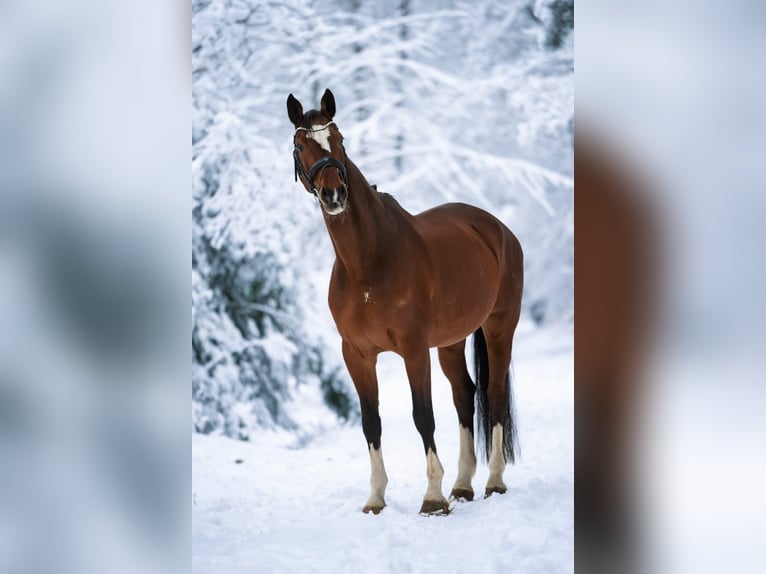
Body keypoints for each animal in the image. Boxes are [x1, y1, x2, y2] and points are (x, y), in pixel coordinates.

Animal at [287, 89, 524, 515]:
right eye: (300, 146)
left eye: (340, 139)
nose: (334, 194)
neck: (368, 265)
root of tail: (497, 229)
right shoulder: (357, 355)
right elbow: (371, 421)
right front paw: (376, 498)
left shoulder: (414, 349)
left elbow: (423, 415)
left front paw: (432, 498)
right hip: (451, 342)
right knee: (465, 395)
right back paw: (462, 485)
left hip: (500, 328)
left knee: (493, 395)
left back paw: (494, 482)